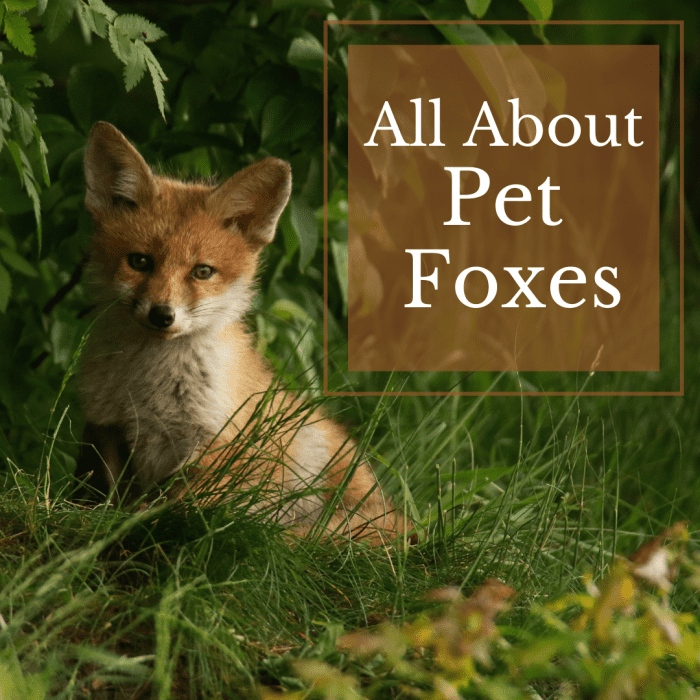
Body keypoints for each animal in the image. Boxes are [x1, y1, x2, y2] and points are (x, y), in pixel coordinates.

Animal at [75, 122, 399, 542]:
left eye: (202, 271)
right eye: (140, 262)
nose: (162, 315)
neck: (148, 386)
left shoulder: (215, 441)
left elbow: (177, 507)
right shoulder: (106, 426)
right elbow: (106, 496)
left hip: (308, 447)